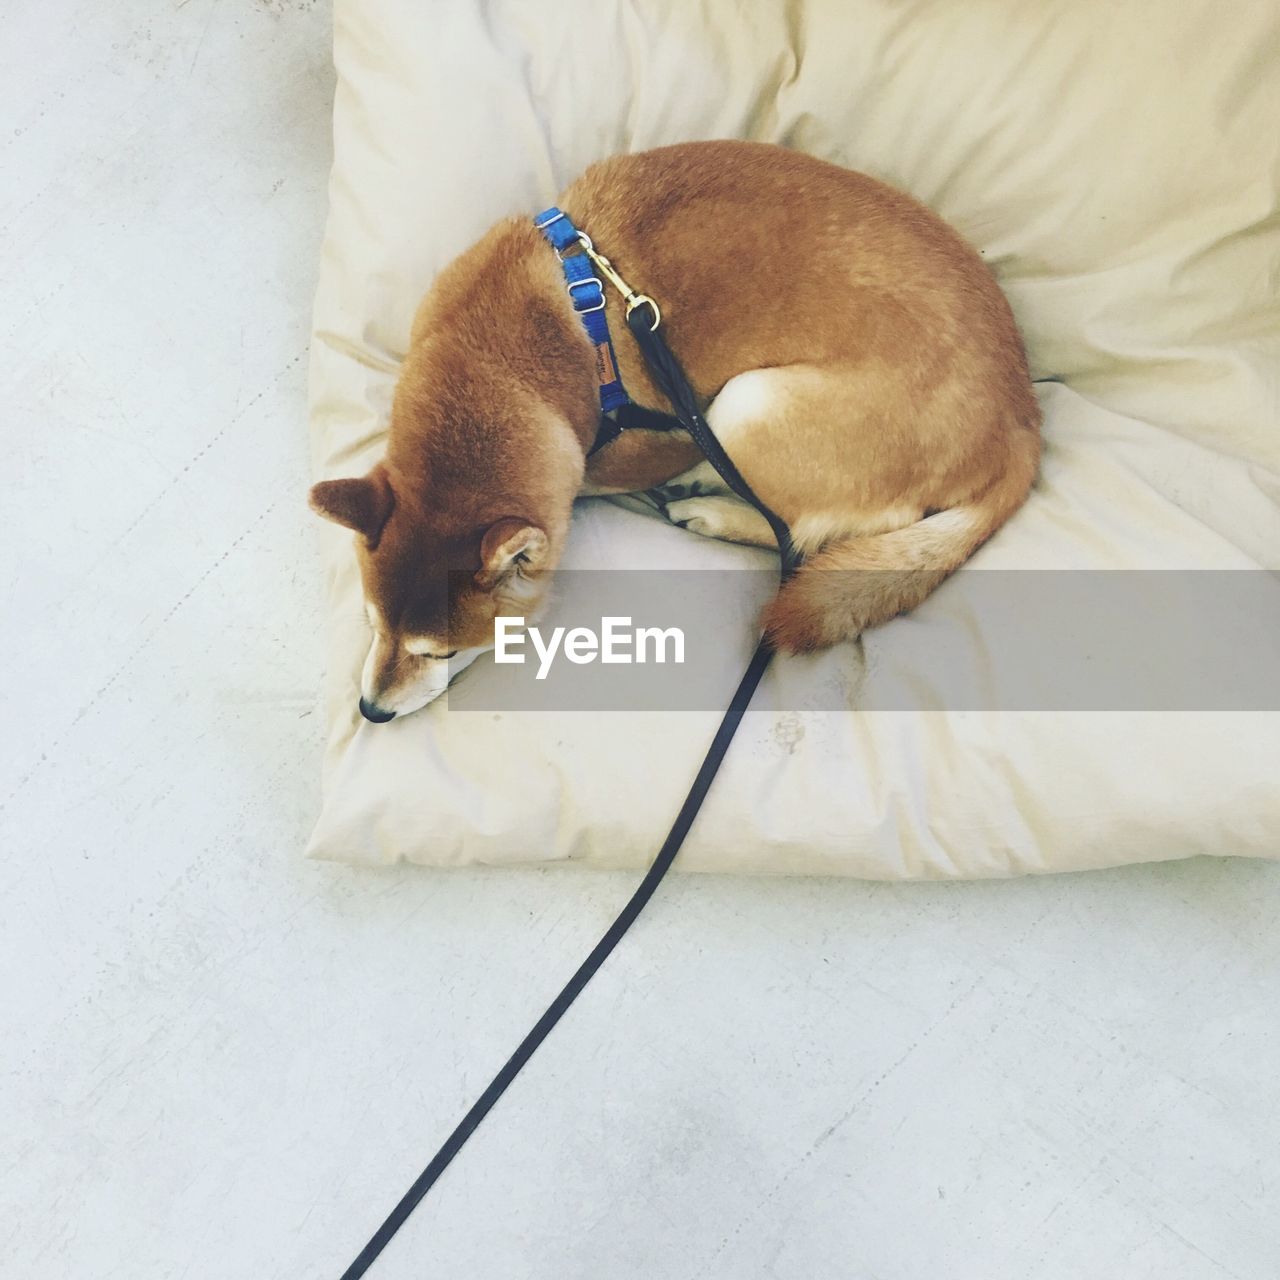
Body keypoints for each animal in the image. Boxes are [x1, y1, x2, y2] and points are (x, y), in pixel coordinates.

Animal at [307, 142, 1039, 721]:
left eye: (443, 652)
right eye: (372, 625)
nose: (371, 711)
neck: (500, 360)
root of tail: (1021, 422)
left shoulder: (641, 444)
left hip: (745, 406)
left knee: (803, 529)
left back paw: (706, 505)